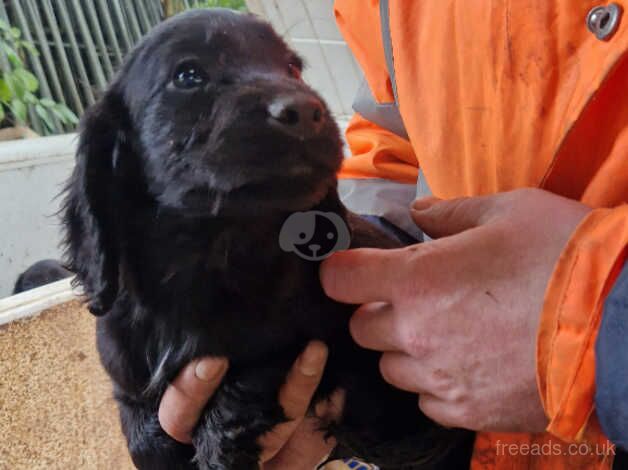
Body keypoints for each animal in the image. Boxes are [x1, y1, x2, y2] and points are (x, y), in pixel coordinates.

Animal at [62, 8, 472, 470]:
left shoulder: (300, 345)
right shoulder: (127, 374)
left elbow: (240, 395)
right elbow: (143, 433)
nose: (307, 111)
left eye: (292, 67)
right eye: (188, 75)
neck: (213, 249)